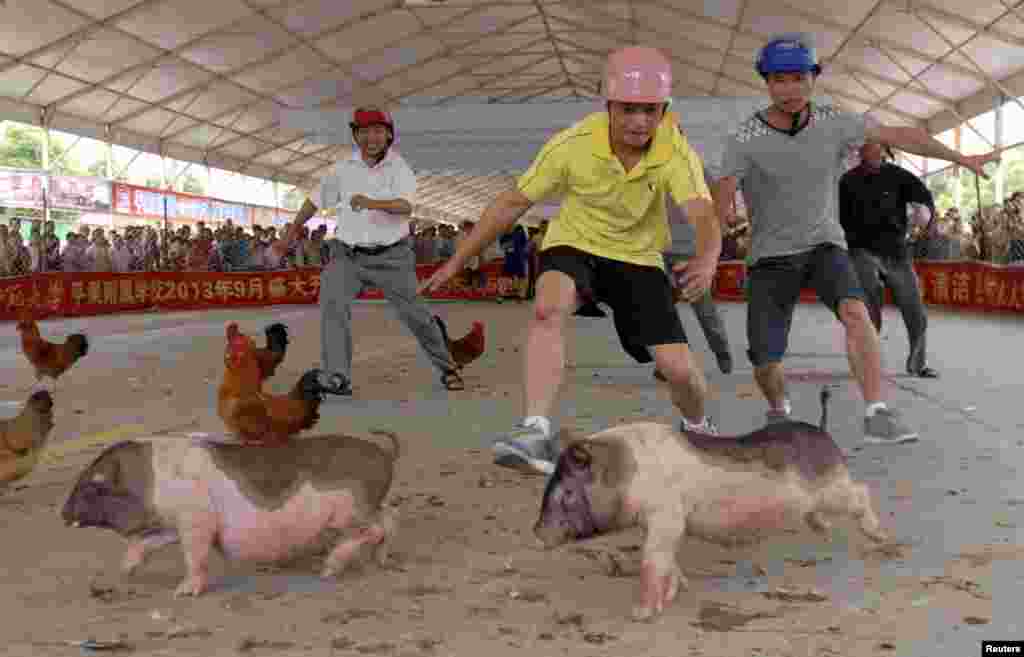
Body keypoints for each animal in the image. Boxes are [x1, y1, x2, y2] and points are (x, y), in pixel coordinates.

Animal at [61, 431, 401, 597]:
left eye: (89, 487)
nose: (61, 513)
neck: (150, 478)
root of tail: (385, 455)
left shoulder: (196, 520)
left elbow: (194, 556)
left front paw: (183, 593)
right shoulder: (173, 524)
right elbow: (145, 543)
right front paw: (125, 571)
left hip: (350, 512)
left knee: (373, 529)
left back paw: (329, 570)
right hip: (369, 506)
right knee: (389, 520)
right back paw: (381, 561)